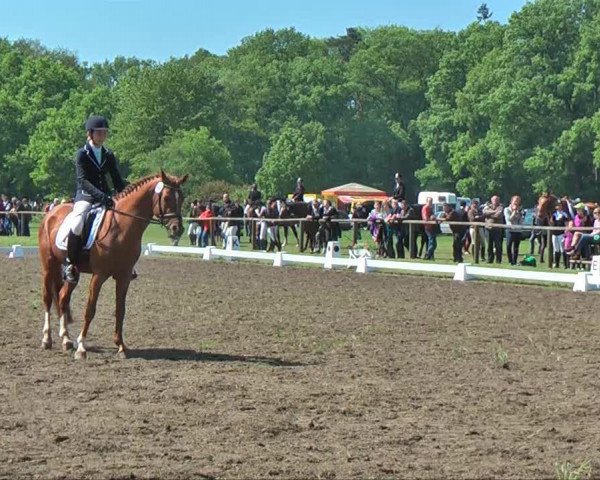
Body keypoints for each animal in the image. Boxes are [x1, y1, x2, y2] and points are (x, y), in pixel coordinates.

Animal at [38, 171, 188, 358]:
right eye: (167, 197)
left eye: (182, 197)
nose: (177, 229)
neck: (122, 227)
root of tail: (51, 213)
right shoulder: (99, 275)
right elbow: (90, 309)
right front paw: (81, 347)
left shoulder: (124, 277)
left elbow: (120, 310)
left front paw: (121, 346)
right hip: (48, 266)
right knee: (48, 298)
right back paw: (47, 340)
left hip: (74, 272)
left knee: (63, 298)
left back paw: (66, 340)